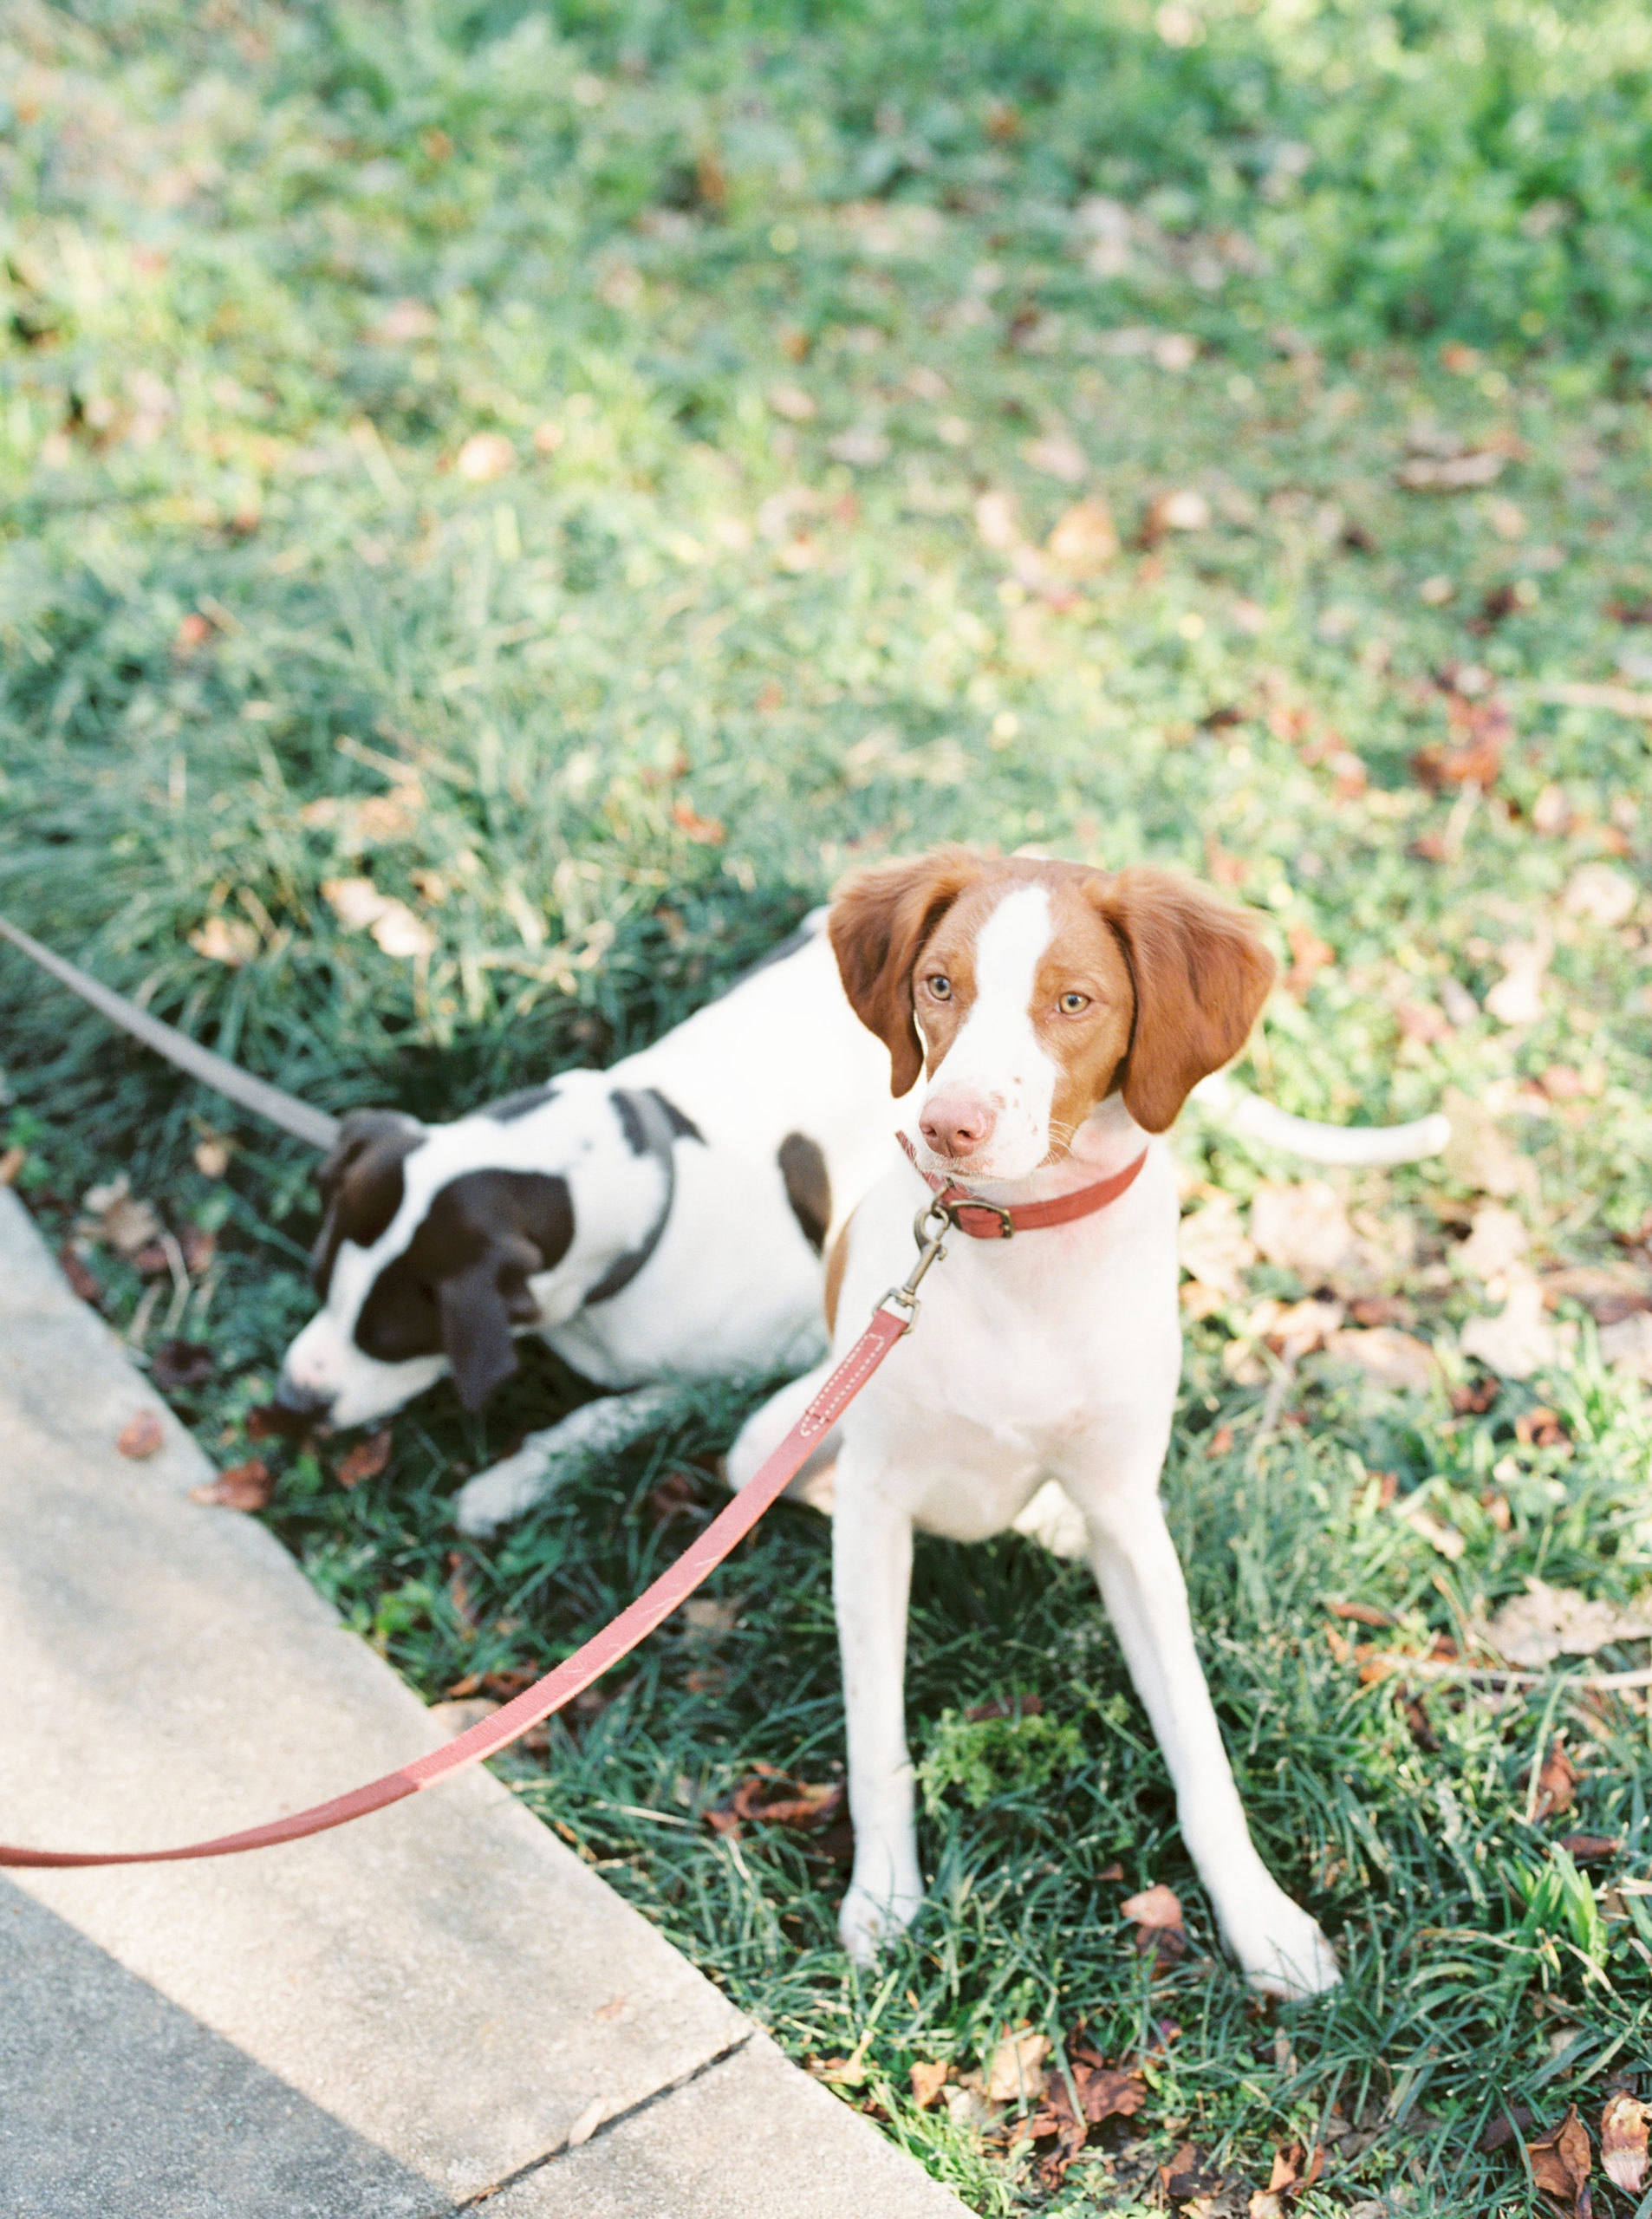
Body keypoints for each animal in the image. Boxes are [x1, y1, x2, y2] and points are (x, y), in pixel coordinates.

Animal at [732, 843, 1339, 1997]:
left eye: (1073, 1001)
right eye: (938, 984)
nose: (945, 1124)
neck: (1014, 1237)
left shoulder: (1129, 1517)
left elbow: (1200, 1748)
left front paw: (1263, 1921)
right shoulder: (874, 1505)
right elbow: (877, 1738)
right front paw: (884, 1898)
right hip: (775, 1440)